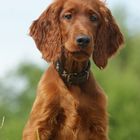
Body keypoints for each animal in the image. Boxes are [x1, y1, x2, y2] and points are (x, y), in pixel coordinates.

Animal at [22, 0, 123, 139]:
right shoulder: (39, 125)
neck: (73, 76)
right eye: (68, 16)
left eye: (94, 18)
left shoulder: (98, 127)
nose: (83, 40)